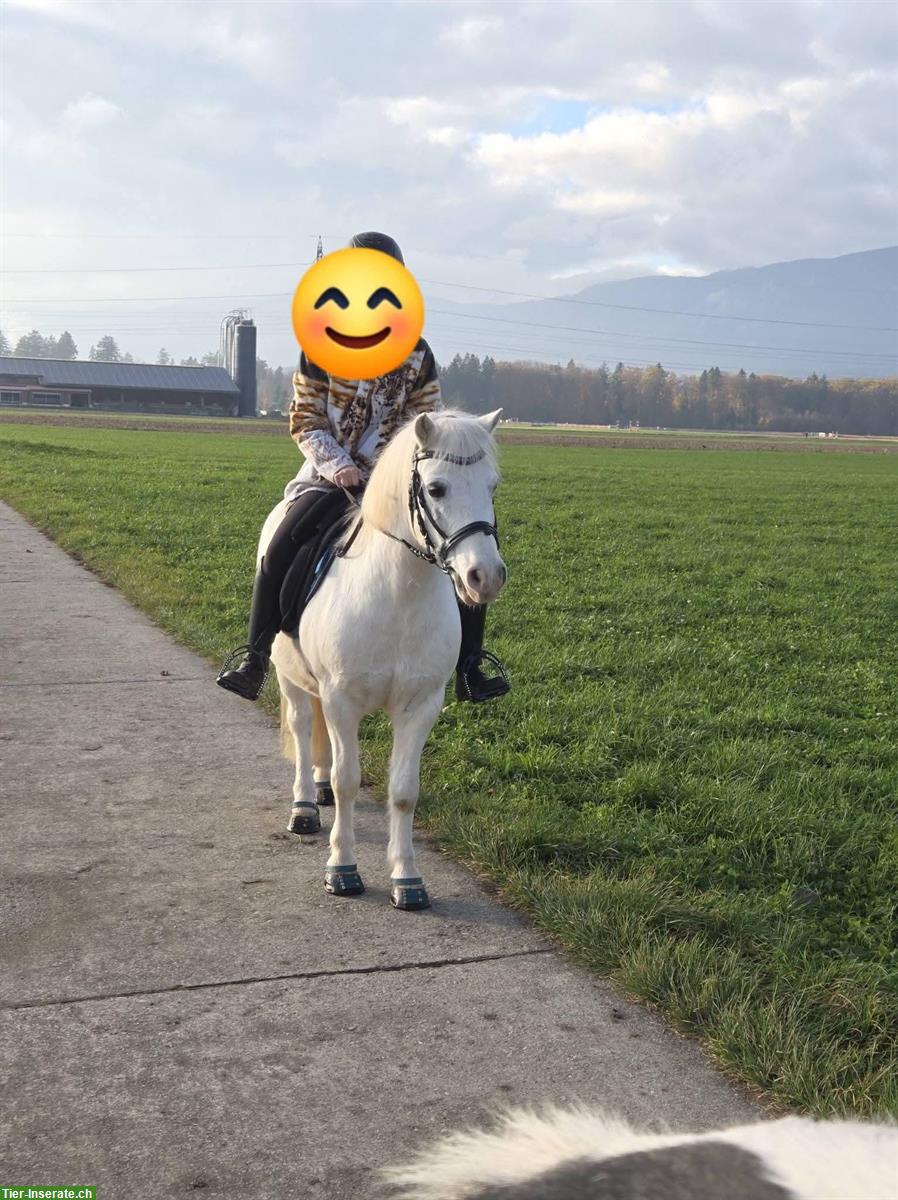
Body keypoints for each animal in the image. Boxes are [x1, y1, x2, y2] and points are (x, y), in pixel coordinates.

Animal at [262, 408, 506, 910]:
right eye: (436, 488)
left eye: (492, 486)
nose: (486, 576)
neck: (398, 593)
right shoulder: (342, 700)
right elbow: (348, 780)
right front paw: (342, 870)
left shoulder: (421, 706)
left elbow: (404, 792)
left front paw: (407, 879)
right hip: (290, 678)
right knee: (302, 729)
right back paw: (304, 807)